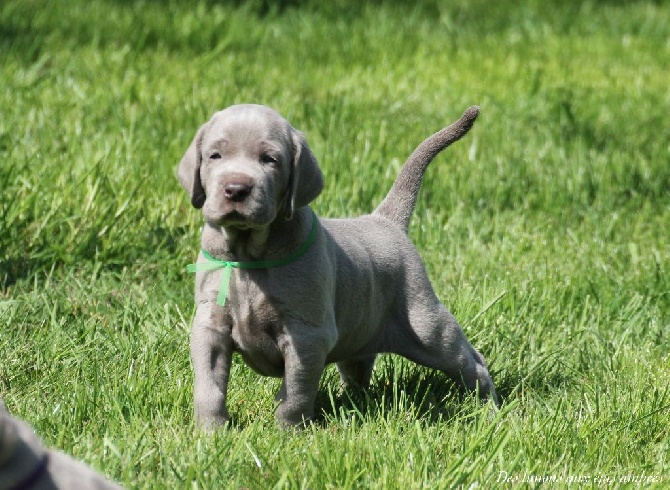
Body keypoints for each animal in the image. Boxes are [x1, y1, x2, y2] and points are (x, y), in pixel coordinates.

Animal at [178, 104, 498, 428]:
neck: (249, 257)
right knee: (359, 365)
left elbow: (295, 390)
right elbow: (209, 385)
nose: (236, 189)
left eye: (270, 159)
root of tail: (386, 221)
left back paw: (488, 410)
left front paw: (287, 430)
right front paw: (211, 430)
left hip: (426, 325)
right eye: (215, 156)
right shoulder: (210, 327)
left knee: (471, 363)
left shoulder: (307, 335)